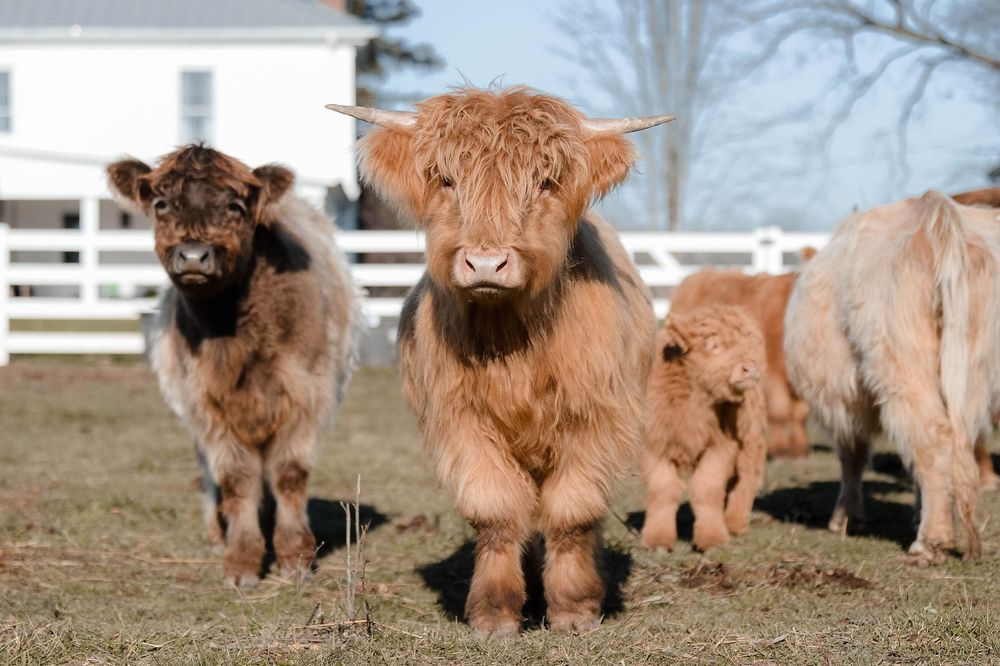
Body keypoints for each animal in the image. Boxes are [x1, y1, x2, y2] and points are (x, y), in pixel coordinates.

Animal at [106, 145, 360, 587]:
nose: (193, 255)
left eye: (235, 205)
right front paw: (241, 559)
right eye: (161, 203)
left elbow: (289, 474)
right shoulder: (206, 405)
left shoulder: (308, 394)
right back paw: (217, 530)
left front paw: (295, 556)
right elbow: (236, 479)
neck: (233, 336)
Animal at [328, 88, 669, 636]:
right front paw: (495, 613)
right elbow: (495, 512)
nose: (486, 263)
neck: (510, 337)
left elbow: (573, 513)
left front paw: (575, 609)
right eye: (447, 180)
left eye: (545, 182)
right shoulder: (460, 420)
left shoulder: (597, 418)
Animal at [641, 306, 767, 552]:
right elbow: (662, 490)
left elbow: (707, 489)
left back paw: (735, 522)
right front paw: (657, 540)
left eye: (749, 345)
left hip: (751, 437)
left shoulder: (721, 446)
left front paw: (712, 539)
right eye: (714, 345)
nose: (750, 369)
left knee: (747, 477)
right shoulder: (655, 445)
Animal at [784, 190, 1000, 563]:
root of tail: (935, 212)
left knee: (932, 437)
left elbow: (852, 454)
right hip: (973, 369)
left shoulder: (842, 395)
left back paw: (930, 542)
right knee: (954, 442)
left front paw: (846, 518)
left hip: (899, 363)